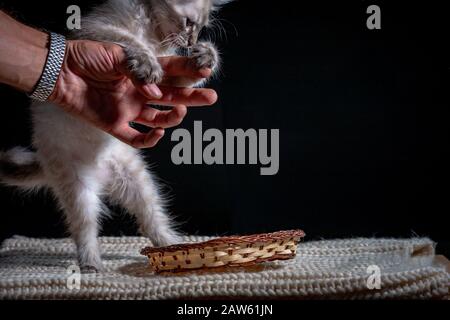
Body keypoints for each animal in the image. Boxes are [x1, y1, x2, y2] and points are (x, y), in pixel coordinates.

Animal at [0, 0, 232, 272]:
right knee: (85, 230)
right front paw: (146, 61)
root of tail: (102, 176)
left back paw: (173, 247)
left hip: (138, 182)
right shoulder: (94, 30)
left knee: (151, 220)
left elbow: (189, 77)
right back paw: (91, 265)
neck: (152, 31)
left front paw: (206, 56)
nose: (190, 41)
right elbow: (128, 39)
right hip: (78, 191)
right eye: (190, 24)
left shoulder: (168, 80)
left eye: (201, 29)